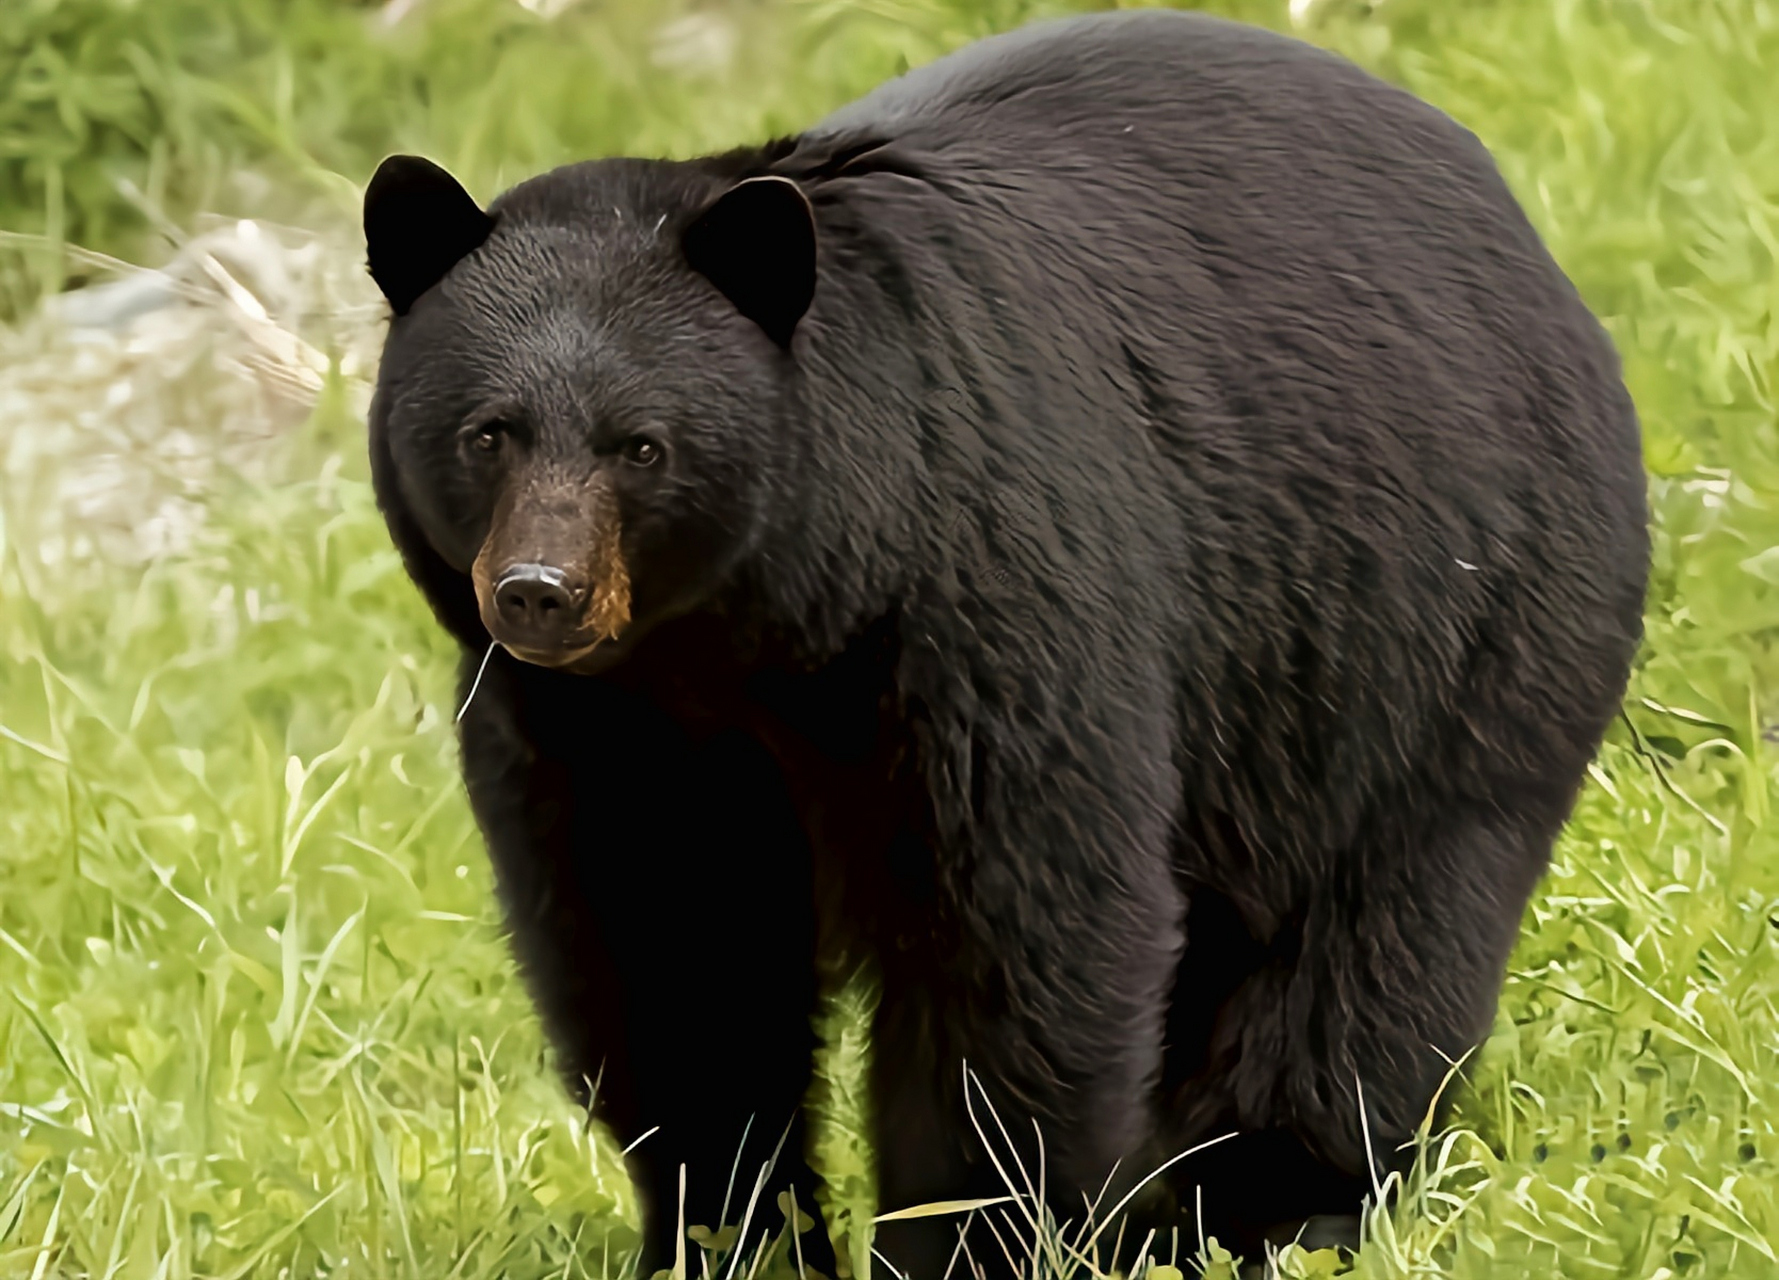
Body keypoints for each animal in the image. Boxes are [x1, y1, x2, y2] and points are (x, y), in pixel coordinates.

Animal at [364, 12, 1650, 1280]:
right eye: (487, 432)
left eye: (641, 445)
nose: (541, 594)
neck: (755, 636)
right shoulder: (591, 729)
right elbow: (668, 956)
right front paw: (729, 1235)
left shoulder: (984, 606)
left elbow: (1019, 944)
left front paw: (960, 1241)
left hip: (1444, 630)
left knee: (1371, 950)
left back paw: (1259, 1209)